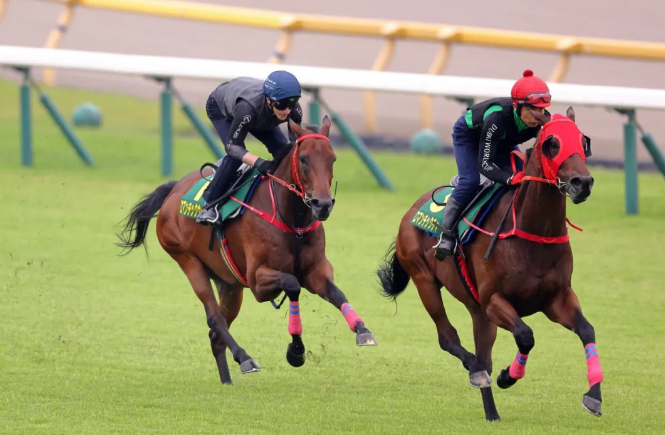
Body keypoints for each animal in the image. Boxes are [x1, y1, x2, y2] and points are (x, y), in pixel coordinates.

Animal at [117, 116, 376, 384]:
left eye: (332, 158)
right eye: (304, 158)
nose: (322, 205)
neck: (292, 220)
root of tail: (175, 188)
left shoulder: (315, 271)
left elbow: (337, 293)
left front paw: (362, 329)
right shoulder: (258, 281)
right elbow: (292, 284)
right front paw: (296, 351)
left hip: (229, 284)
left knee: (216, 334)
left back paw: (227, 381)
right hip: (188, 261)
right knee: (215, 319)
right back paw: (245, 358)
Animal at [378, 107, 600, 424]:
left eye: (583, 141)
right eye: (553, 144)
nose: (583, 183)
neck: (532, 233)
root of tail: (412, 209)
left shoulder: (557, 299)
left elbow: (587, 330)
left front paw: (594, 397)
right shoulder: (495, 300)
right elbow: (525, 335)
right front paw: (509, 376)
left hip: (477, 310)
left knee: (483, 353)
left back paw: (492, 412)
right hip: (424, 280)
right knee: (449, 338)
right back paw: (477, 372)